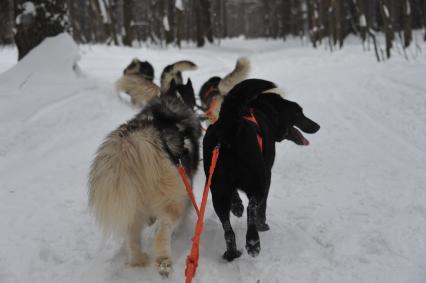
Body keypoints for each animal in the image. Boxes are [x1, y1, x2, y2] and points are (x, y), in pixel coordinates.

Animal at [203, 79, 320, 262]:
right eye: (299, 113)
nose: (317, 126)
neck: (263, 112)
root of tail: (229, 128)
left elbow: (235, 197)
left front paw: (236, 206)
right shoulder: (267, 175)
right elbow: (262, 206)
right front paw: (262, 224)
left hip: (217, 191)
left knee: (227, 228)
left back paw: (232, 252)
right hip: (257, 182)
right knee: (252, 208)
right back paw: (253, 242)